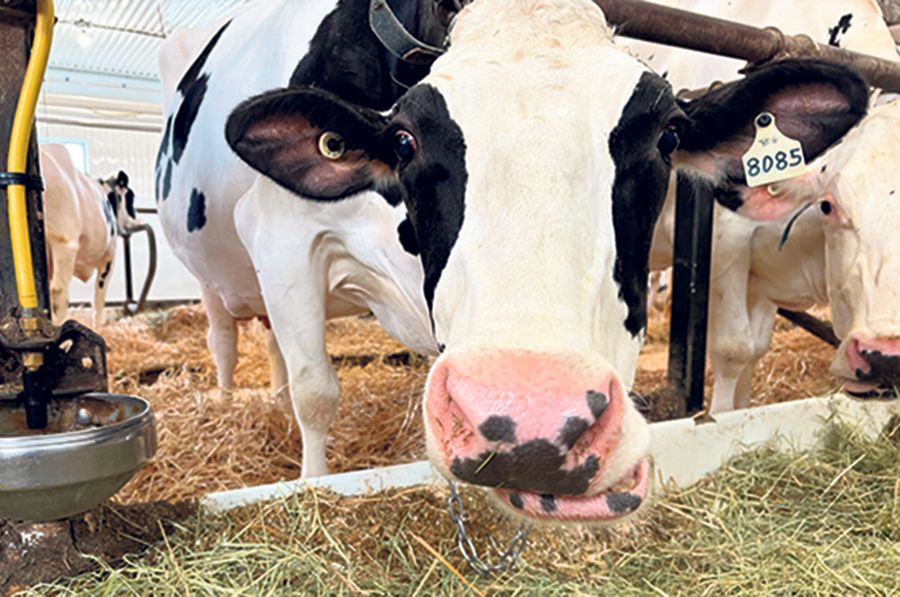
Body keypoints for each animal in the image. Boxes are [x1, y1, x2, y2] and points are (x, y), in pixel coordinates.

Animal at [40, 144, 139, 328]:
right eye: (131, 197)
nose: (138, 220)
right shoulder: (109, 257)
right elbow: (99, 299)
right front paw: (97, 326)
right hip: (65, 241)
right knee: (59, 291)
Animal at [199, 0, 868, 522]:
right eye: (405, 141)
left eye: (668, 137)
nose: (532, 427)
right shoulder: (281, 238)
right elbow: (317, 393)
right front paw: (310, 486)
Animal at [627, 0, 900, 413]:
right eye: (829, 206)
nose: (885, 357)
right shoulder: (725, 244)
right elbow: (734, 350)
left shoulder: (761, 275)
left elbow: (754, 351)